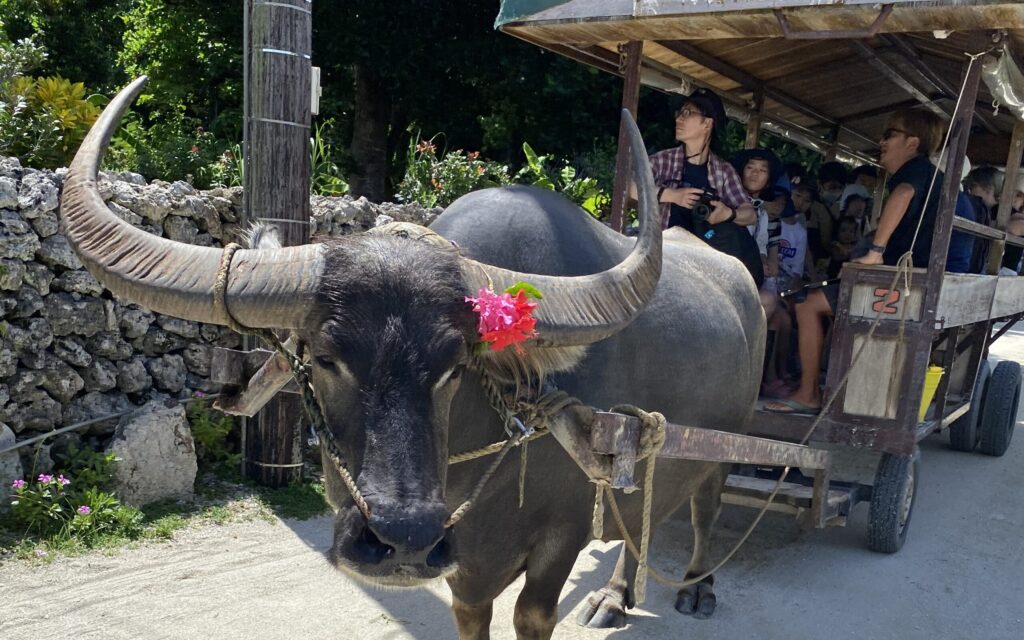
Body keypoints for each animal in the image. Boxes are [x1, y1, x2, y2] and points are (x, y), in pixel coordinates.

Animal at [64, 77, 765, 634]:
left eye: (454, 367)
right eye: (326, 357)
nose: (401, 539)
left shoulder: (559, 538)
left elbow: (534, 611)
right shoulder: (465, 566)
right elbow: (474, 613)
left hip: (722, 447)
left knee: (702, 507)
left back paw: (698, 587)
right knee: (642, 522)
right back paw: (616, 597)